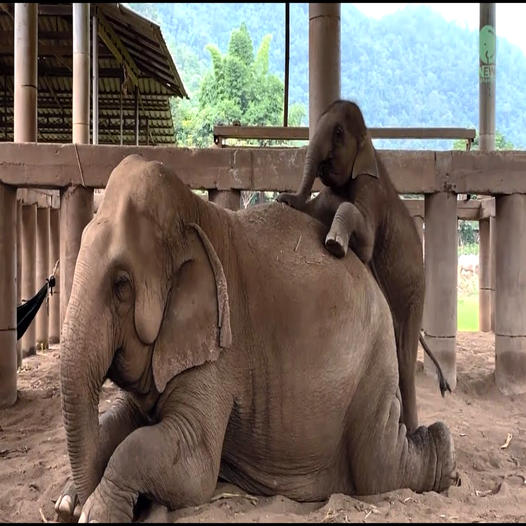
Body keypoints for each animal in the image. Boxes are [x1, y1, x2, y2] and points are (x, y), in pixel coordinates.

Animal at [55, 154, 456, 524]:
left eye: (121, 285)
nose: (77, 499)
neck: (193, 214)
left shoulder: (220, 347)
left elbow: (190, 464)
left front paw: (93, 513)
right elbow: (119, 421)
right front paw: (66, 502)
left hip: (371, 364)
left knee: (378, 466)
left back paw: (446, 455)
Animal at [278, 101, 452, 436]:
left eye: (338, 132)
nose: (283, 195)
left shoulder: (371, 191)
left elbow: (366, 239)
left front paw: (335, 245)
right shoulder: (331, 193)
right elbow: (320, 207)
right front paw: (286, 200)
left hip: (414, 295)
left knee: (404, 358)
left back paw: (412, 432)